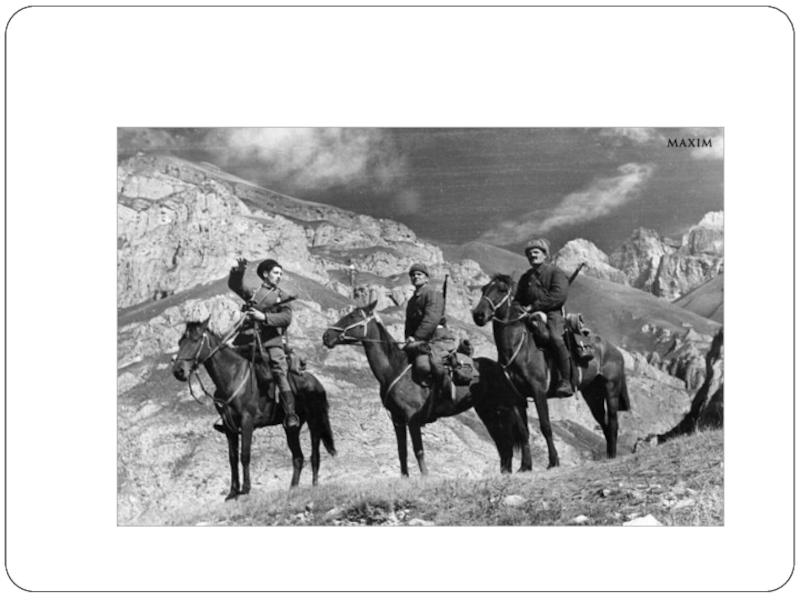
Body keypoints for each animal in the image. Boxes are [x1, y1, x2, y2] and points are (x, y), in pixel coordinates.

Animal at [172, 318, 336, 500]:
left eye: (195, 340)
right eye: (180, 342)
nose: (178, 371)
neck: (233, 377)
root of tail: (317, 384)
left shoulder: (247, 421)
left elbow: (245, 455)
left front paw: (245, 489)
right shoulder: (229, 427)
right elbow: (232, 459)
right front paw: (232, 492)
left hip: (315, 423)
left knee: (315, 455)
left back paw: (314, 486)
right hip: (291, 428)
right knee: (298, 457)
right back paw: (293, 488)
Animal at [322, 301, 531, 476]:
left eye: (352, 316)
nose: (326, 336)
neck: (393, 369)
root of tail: (500, 367)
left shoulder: (412, 419)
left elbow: (418, 450)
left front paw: (425, 477)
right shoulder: (397, 420)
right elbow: (402, 451)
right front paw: (405, 478)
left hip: (508, 408)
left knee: (519, 436)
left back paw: (524, 468)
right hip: (489, 412)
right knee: (504, 443)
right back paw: (505, 473)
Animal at [472, 274, 630, 466]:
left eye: (502, 290)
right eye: (483, 289)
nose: (478, 315)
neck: (521, 347)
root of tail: (615, 351)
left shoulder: (539, 391)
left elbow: (545, 426)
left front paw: (553, 461)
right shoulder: (517, 398)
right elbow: (523, 431)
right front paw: (526, 466)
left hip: (611, 390)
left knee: (613, 424)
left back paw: (613, 457)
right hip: (593, 396)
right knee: (605, 425)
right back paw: (608, 456)